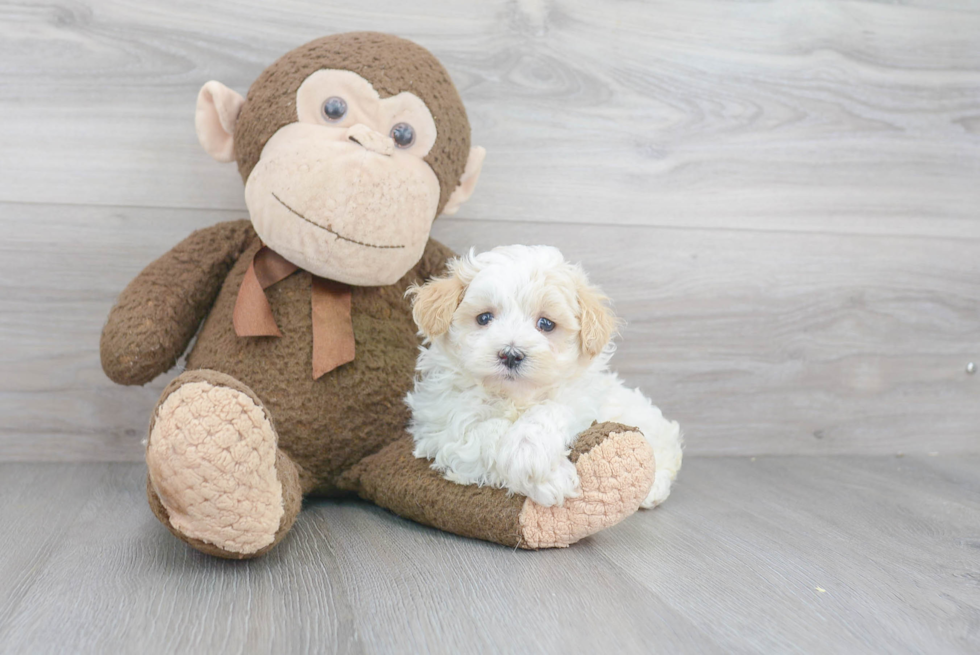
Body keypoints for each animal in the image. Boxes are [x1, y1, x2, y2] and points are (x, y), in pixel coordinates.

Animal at [406, 245, 680, 508]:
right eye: (484, 318)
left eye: (546, 324)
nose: (511, 354)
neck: (514, 397)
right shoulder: (441, 424)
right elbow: (483, 432)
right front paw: (550, 478)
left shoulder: (579, 401)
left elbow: (548, 412)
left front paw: (531, 454)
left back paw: (652, 489)